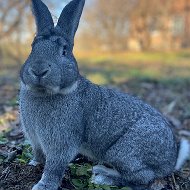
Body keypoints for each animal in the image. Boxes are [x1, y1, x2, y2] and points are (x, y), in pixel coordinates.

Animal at [19, 0, 190, 190]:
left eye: (64, 51)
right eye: (32, 48)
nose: (38, 70)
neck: (44, 93)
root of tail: (170, 161)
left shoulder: (61, 142)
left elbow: (54, 166)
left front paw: (43, 185)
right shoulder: (35, 138)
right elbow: (38, 154)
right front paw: (33, 163)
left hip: (124, 153)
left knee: (141, 179)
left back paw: (103, 177)